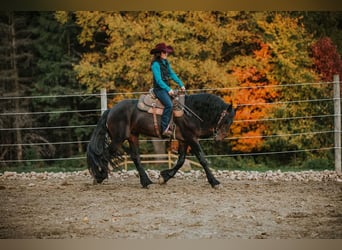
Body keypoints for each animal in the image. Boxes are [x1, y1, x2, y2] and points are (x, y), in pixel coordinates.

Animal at [86, 93, 235, 188]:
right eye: (226, 120)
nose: (220, 137)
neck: (190, 113)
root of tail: (111, 110)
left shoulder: (184, 140)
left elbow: (181, 160)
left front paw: (164, 177)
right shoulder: (191, 138)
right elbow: (202, 160)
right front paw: (215, 182)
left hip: (132, 136)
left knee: (135, 157)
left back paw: (146, 182)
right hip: (118, 138)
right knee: (105, 154)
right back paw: (99, 177)